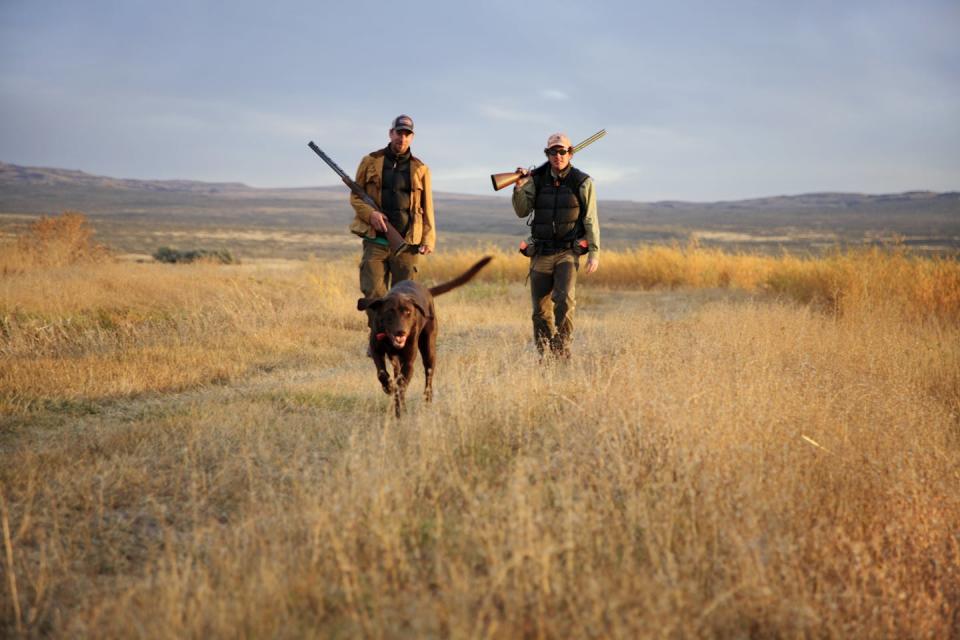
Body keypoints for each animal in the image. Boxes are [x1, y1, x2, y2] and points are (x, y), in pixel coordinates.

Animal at [360, 258, 496, 418]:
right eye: (389, 312)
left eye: (408, 312)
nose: (401, 332)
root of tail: (426, 290)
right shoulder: (377, 350)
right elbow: (382, 373)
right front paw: (388, 387)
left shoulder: (409, 362)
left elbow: (401, 386)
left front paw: (400, 411)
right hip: (396, 358)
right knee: (396, 372)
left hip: (428, 348)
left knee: (428, 375)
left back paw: (427, 400)